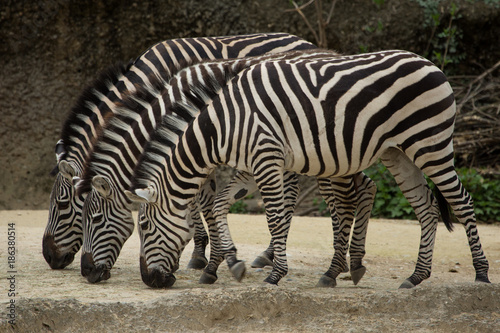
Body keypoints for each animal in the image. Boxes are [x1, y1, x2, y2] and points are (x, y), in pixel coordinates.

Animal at [43, 31, 316, 270]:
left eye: (62, 204)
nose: (49, 257)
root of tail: (302, 40)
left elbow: (200, 200)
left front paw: (208, 256)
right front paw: (198, 254)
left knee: (289, 195)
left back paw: (268, 255)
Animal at [76, 47, 376, 286]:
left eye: (94, 220)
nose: (87, 272)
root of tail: (331, 52)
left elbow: (205, 206)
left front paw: (211, 262)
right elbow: (204, 205)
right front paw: (208, 259)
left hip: (329, 157)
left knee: (343, 201)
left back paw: (334, 268)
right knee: (366, 187)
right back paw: (351, 262)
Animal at [124, 48, 488, 288]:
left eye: (143, 225)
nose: (150, 281)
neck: (223, 125)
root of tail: (430, 64)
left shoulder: (266, 158)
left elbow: (274, 216)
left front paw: (274, 274)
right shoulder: (249, 167)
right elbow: (220, 206)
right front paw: (235, 263)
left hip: (430, 144)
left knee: (462, 201)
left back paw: (481, 273)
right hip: (398, 153)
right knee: (427, 208)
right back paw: (416, 276)